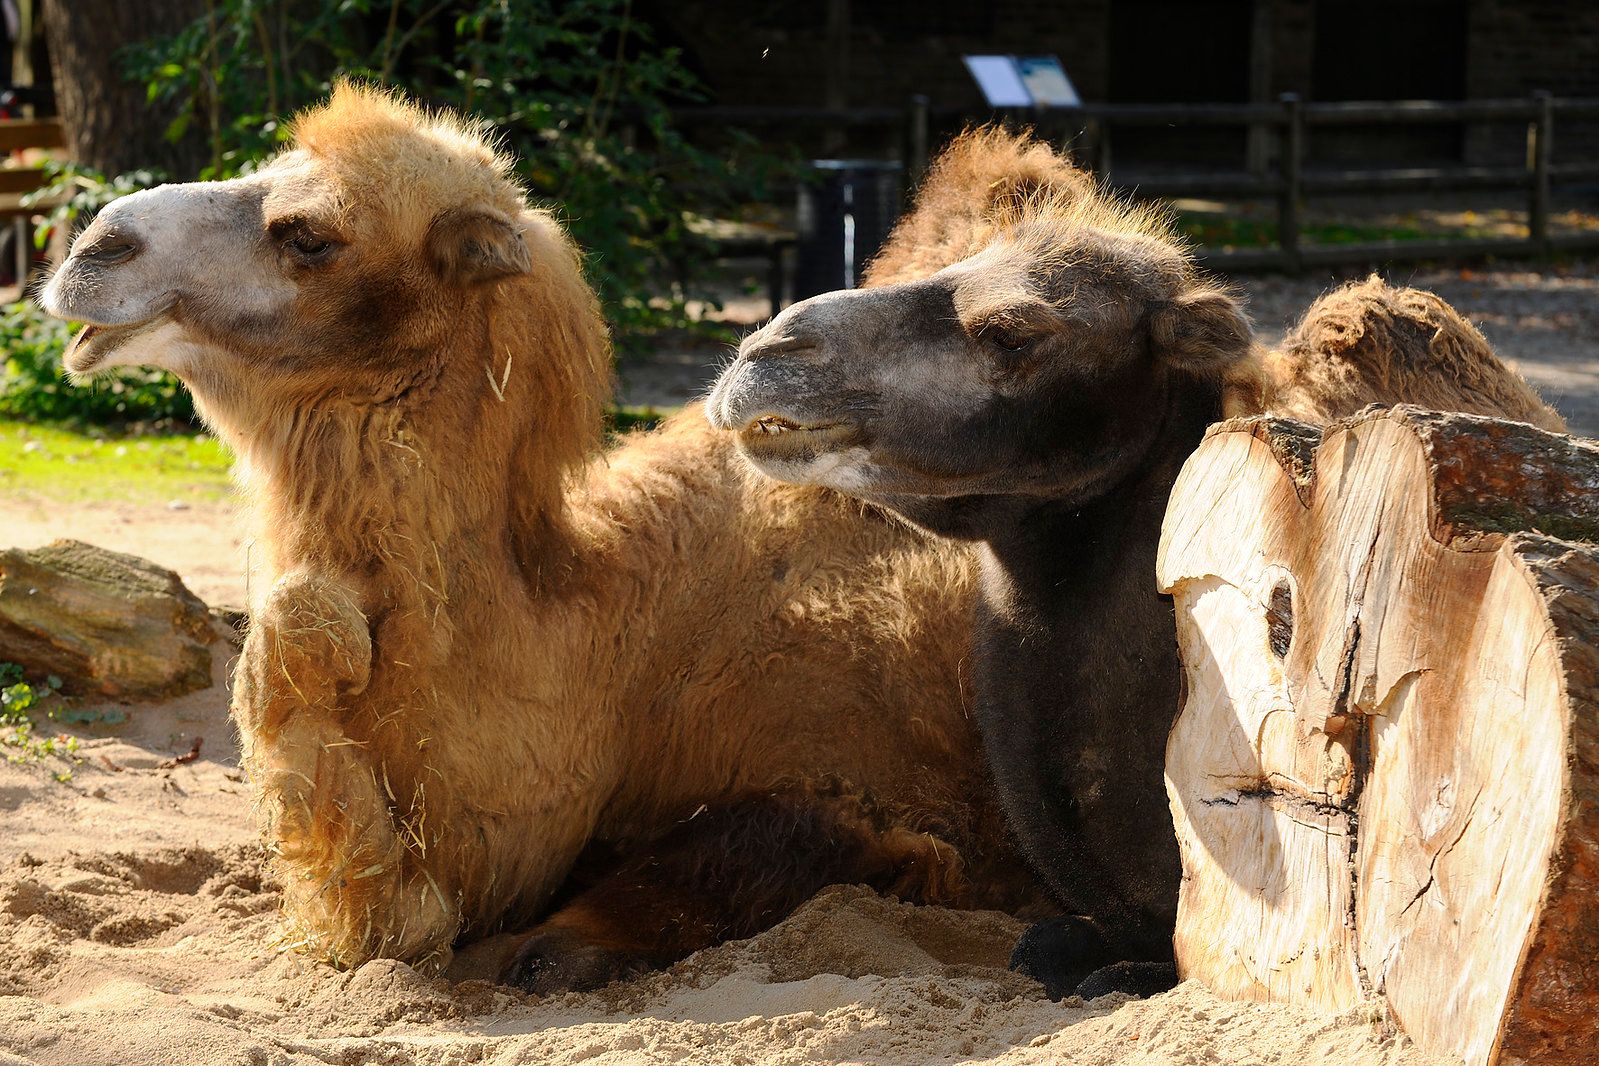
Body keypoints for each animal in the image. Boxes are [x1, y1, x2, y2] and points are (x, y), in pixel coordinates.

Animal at [41, 85, 1044, 988]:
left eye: (309, 236)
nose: (93, 247)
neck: (615, 642)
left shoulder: (868, 783)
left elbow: (671, 885)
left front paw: (559, 947)